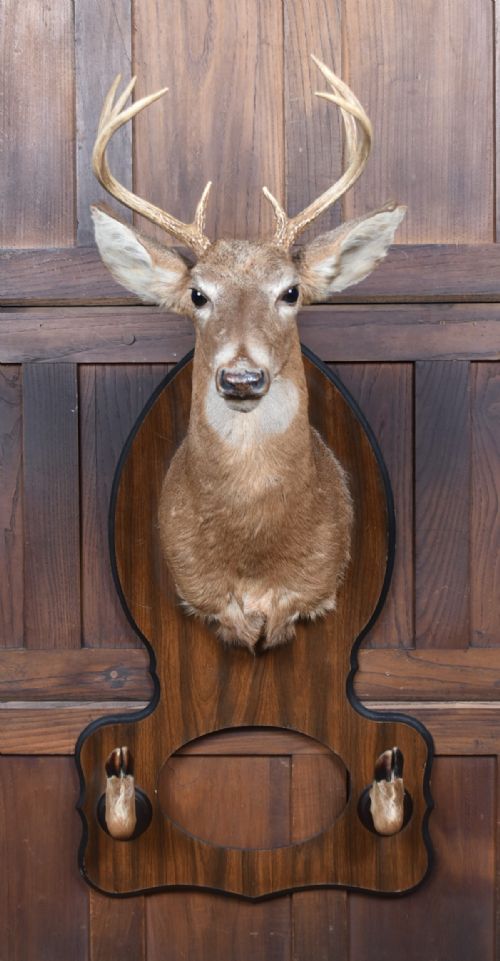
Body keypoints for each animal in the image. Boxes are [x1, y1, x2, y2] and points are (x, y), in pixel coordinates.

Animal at [91, 59, 407, 838]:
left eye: (290, 290)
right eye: (198, 294)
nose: (240, 376)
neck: (256, 551)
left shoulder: (315, 592)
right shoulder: (200, 597)